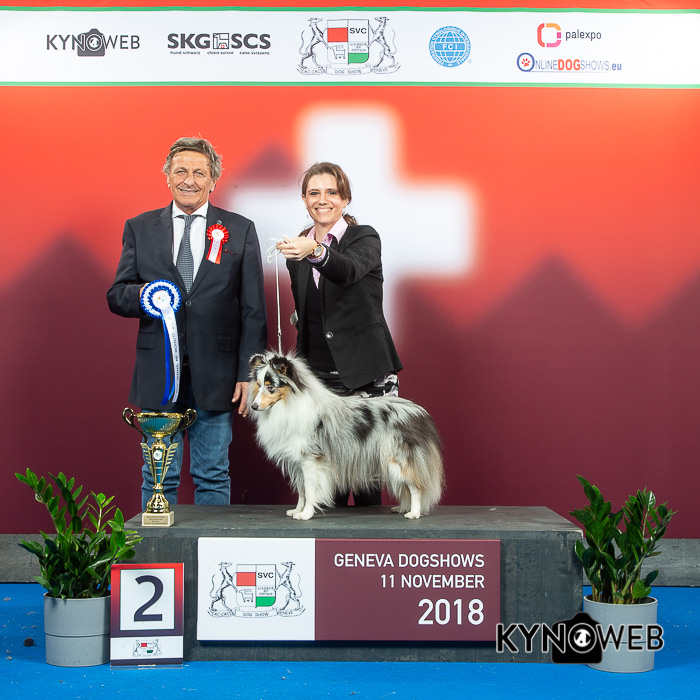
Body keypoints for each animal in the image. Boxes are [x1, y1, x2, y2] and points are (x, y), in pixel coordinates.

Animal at [248, 351, 445, 520]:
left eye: (271, 388)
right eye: (258, 385)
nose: (254, 406)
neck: (290, 403)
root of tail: (421, 413)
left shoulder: (311, 461)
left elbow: (310, 492)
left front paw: (306, 514)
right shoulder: (298, 465)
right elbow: (302, 491)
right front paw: (297, 510)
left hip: (398, 460)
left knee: (416, 486)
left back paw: (414, 513)